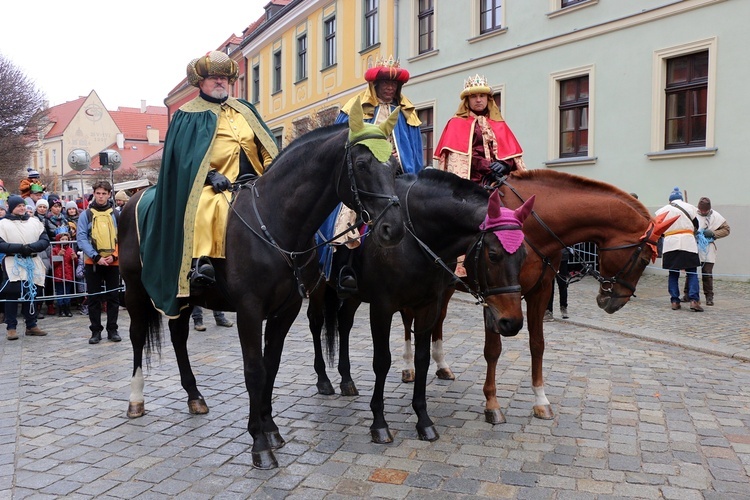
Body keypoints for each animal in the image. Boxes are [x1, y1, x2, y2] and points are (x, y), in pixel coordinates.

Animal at [120, 108, 408, 468]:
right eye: (362, 164)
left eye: (394, 167)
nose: (393, 229)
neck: (277, 223)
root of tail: (133, 199)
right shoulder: (249, 310)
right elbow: (254, 370)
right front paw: (258, 442)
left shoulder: (286, 310)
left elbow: (271, 364)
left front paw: (270, 428)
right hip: (136, 291)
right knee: (136, 336)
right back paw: (136, 399)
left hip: (181, 297)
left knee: (178, 338)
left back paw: (194, 395)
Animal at [308, 170, 532, 444]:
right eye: (493, 255)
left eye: (523, 256)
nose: (512, 322)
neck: (414, 239)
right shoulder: (381, 308)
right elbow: (381, 361)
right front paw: (379, 423)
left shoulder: (427, 306)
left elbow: (423, 359)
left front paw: (423, 420)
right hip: (317, 286)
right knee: (316, 323)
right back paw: (323, 380)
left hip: (352, 296)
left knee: (345, 322)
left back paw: (347, 379)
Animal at [402, 170, 680, 424]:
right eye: (644, 258)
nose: (616, 302)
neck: (533, 229)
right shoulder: (494, 298)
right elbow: (493, 350)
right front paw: (492, 403)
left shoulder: (540, 291)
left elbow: (538, 344)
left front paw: (541, 400)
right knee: (408, 321)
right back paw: (408, 368)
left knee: (438, 320)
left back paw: (442, 366)